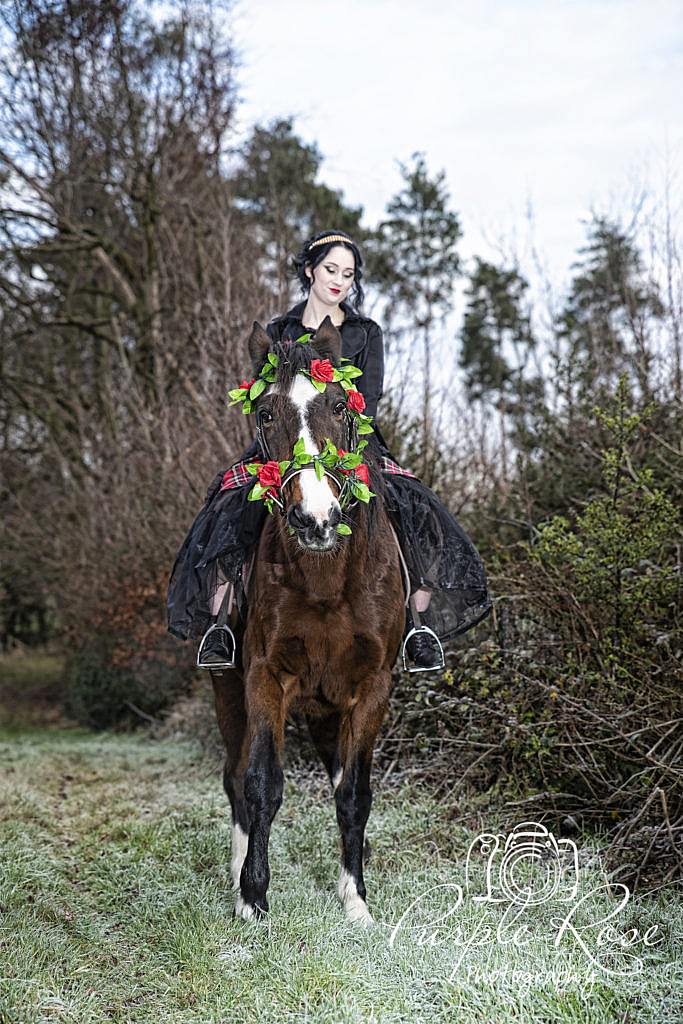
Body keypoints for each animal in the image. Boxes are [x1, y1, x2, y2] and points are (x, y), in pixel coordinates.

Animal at [214, 317, 405, 929]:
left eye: (342, 406)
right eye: (264, 414)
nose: (316, 519)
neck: (326, 578)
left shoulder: (370, 689)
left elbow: (353, 794)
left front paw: (356, 901)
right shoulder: (264, 678)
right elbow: (261, 784)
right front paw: (253, 897)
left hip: (326, 711)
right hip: (226, 689)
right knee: (234, 776)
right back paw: (234, 875)